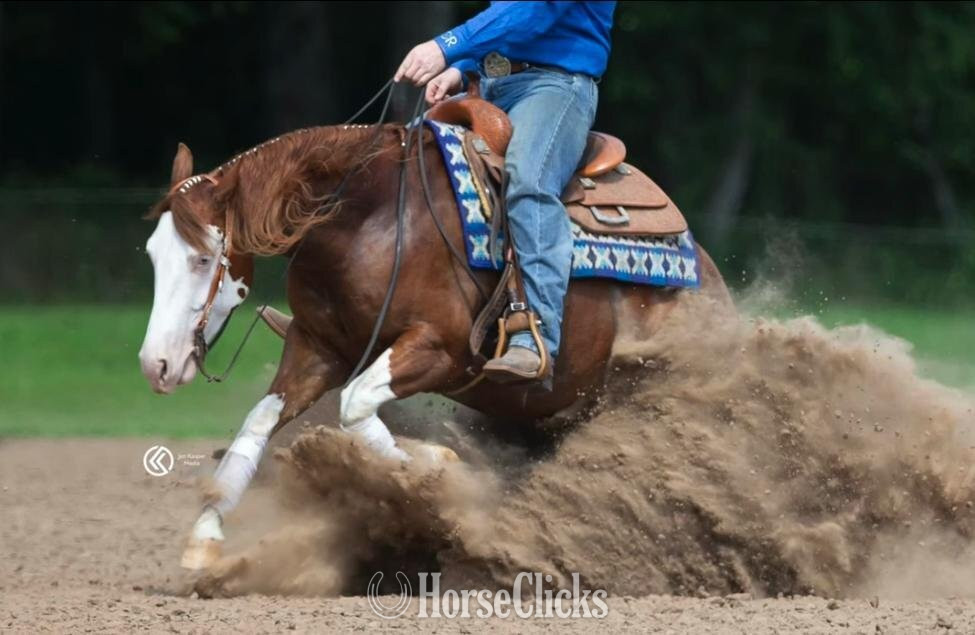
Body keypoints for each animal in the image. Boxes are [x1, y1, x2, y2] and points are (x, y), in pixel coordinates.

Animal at [138, 121, 732, 570]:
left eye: (202, 259)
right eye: (152, 255)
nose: (154, 365)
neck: (367, 218)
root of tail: (707, 275)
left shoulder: (440, 351)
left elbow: (356, 404)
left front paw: (440, 474)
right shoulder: (317, 348)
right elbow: (261, 421)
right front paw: (205, 536)